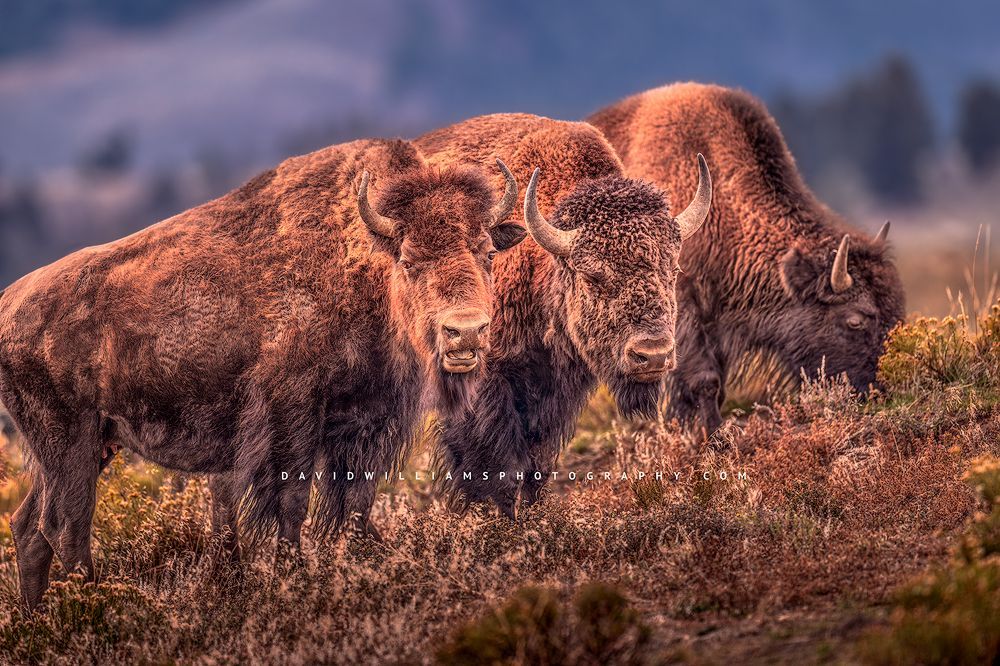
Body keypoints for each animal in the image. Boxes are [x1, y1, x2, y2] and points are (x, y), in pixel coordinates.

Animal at [0, 138, 525, 609]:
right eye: (410, 260)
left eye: (486, 252)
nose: (465, 332)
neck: (363, 263)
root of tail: (8, 305)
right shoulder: (291, 414)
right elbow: (291, 502)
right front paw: (292, 576)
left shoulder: (366, 424)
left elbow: (356, 504)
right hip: (70, 441)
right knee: (65, 524)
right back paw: (96, 604)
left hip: (86, 446)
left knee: (30, 526)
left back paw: (40, 617)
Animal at [415, 113, 711, 513]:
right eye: (592, 274)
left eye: (673, 269)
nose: (652, 356)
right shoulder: (487, 381)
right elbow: (495, 460)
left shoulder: (556, 393)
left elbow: (536, 459)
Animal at [589, 83, 906, 434]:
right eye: (855, 320)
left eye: (897, 311)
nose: (879, 393)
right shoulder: (686, 310)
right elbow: (703, 380)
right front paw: (711, 433)